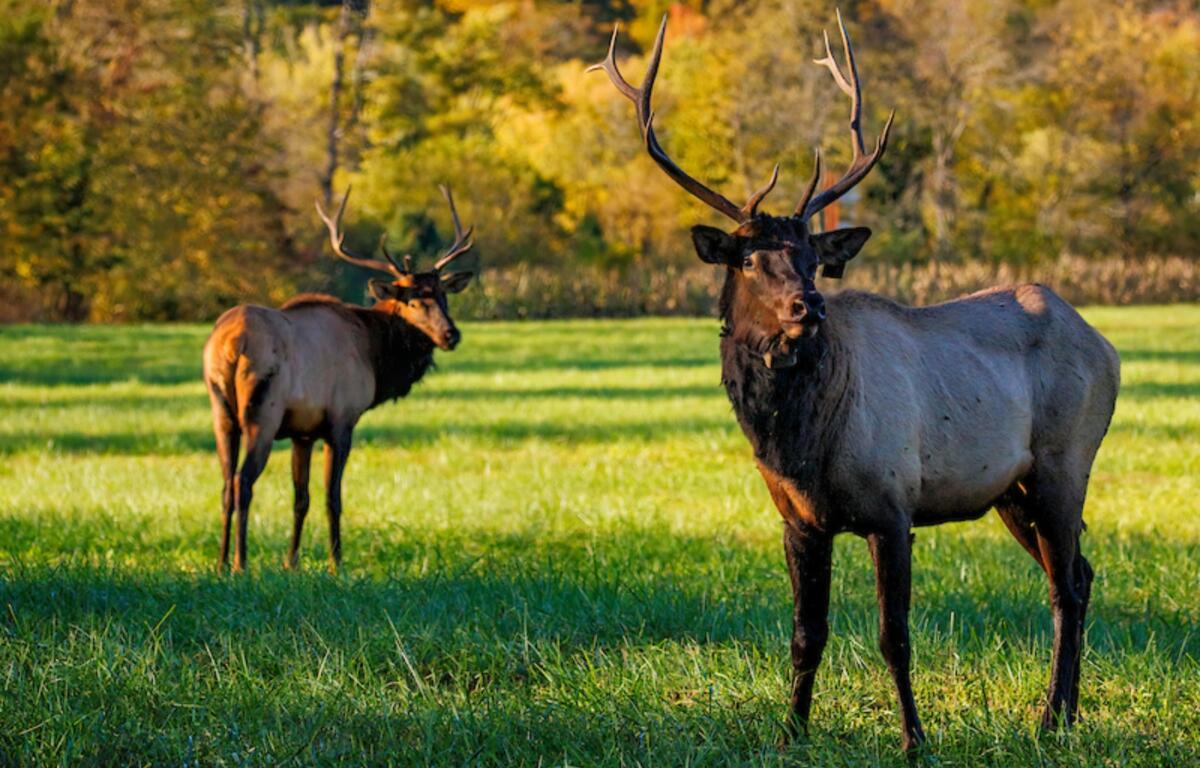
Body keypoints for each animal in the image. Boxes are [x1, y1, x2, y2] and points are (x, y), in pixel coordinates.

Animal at [202, 186, 476, 574]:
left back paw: (222, 562)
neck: (374, 353)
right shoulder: (341, 420)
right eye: (411, 302)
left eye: (442, 296)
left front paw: (291, 562)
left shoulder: (302, 432)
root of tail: (230, 345)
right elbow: (333, 497)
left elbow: (300, 498)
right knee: (243, 481)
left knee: (226, 482)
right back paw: (241, 563)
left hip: (221, 411)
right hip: (262, 411)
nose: (451, 334)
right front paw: (337, 563)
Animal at [591, 12, 1119, 752]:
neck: (802, 448)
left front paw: (914, 740)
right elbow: (805, 635)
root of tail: (1104, 342)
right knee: (1080, 572)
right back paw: (1065, 712)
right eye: (749, 258)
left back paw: (1049, 718)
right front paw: (791, 732)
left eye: (812, 256)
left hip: (1064, 460)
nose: (806, 306)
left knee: (1065, 586)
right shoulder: (797, 521)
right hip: (1009, 489)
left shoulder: (893, 506)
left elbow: (894, 636)